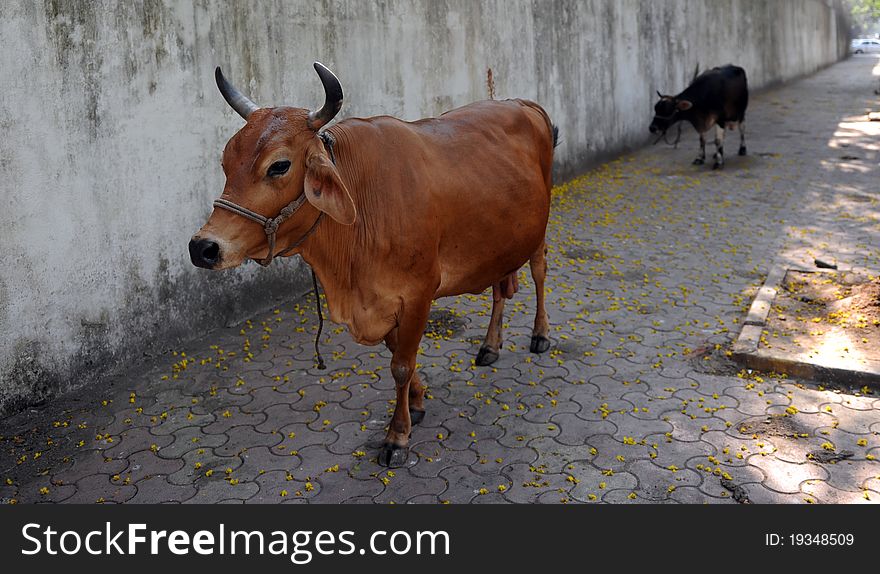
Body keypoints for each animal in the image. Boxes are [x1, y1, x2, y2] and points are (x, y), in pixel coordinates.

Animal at [190, 64, 556, 468]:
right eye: (226, 161)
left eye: (279, 166)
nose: (203, 247)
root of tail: (521, 103)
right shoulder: (382, 302)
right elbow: (397, 354)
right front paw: (417, 401)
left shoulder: (418, 294)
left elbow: (401, 365)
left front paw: (398, 435)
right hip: (500, 240)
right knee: (499, 288)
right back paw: (490, 345)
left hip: (539, 231)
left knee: (539, 273)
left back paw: (540, 334)